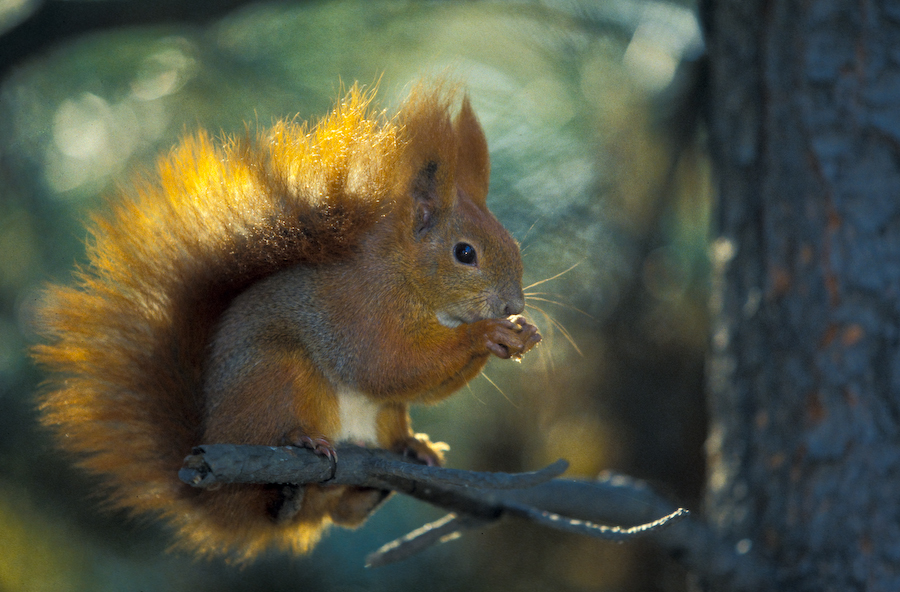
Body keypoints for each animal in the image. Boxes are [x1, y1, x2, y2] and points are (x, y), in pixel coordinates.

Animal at [33, 81, 540, 560]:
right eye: (465, 253)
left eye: (514, 244)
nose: (511, 304)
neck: (409, 280)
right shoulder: (358, 313)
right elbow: (386, 365)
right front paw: (488, 334)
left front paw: (523, 335)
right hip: (277, 377)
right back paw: (304, 441)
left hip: (382, 417)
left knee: (339, 512)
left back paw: (404, 455)